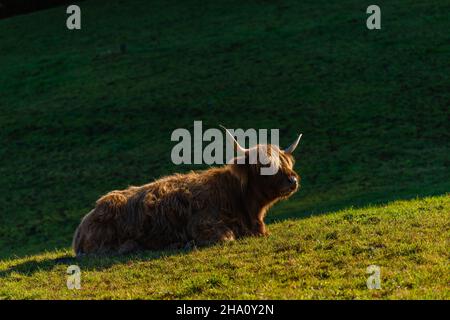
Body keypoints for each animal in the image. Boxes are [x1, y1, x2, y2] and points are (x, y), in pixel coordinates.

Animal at [72, 127, 300, 255]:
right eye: (266, 164)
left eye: (285, 161)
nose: (293, 180)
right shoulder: (203, 225)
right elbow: (227, 237)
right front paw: (188, 244)